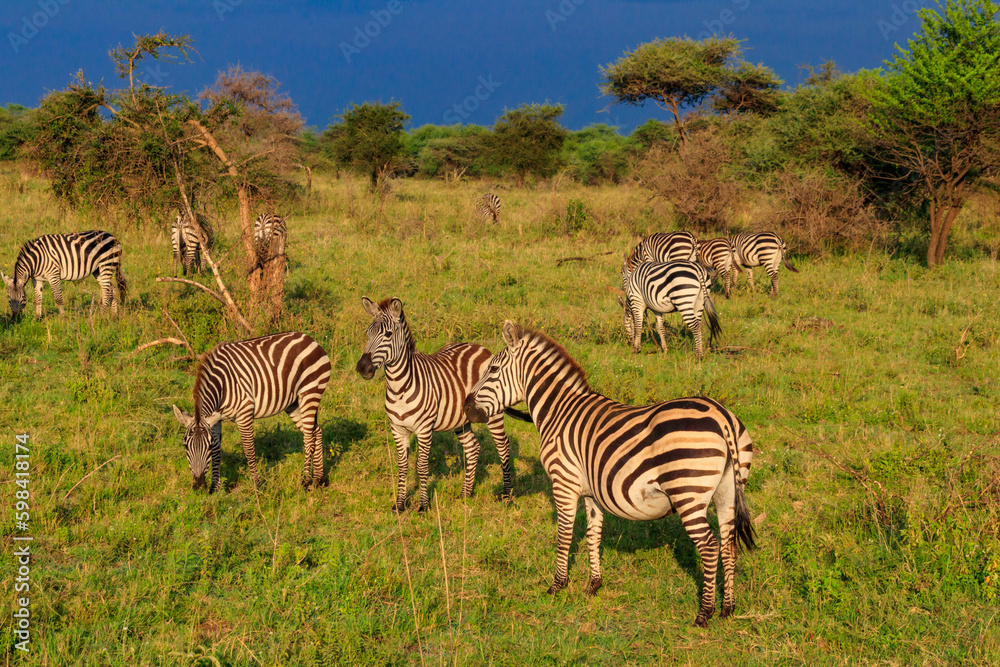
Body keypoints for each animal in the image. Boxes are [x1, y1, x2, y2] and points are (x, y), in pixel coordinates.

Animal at [171, 331, 331, 493]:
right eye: (185, 445)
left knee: (308, 438)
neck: (222, 385)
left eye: (207, 446)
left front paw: (257, 484)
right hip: (293, 404)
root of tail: (309, 338)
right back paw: (318, 479)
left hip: (310, 392)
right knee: (316, 431)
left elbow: (248, 450)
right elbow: (217, 452)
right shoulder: (215, 420)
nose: (198, 486)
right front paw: (215, 487)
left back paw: (306, 481)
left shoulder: (244, 414)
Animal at [356, 296, 528, 513]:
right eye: (367, 332)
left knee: (503, 447)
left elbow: (421, 466)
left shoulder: (424, 429)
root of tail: (480, 347)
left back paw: (506, 494)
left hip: (493, 414)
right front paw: (399, 505)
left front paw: (422, 505)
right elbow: (402, 466)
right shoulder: (397, 428)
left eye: (388, 334)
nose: (362, 368)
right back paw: (465, 494)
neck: (399, 387)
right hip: (462, 419)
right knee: (472, 448)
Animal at [464, 321, 755, 627]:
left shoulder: (563, 483)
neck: (558, 411)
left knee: (710, 547)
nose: (467, 408)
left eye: (492, 370)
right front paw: (594, 584)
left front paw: (557, 585)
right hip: (727, 492)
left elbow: (565, 534)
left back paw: (704, 613)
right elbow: (594, 533)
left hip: (688, 492)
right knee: (729, 543)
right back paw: (728, 608)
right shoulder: (592, 491)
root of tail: (722, 417)